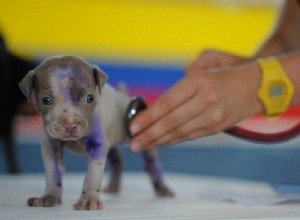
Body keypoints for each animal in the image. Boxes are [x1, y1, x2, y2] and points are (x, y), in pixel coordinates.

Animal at [18, 55, 173, 210]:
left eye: (90, 98)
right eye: (46, 100)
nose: (70, 124)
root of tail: (122, 95)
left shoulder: (97, 145)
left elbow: (92, 175)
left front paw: (88, 199)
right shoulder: (51, 146)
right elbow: (53, 173)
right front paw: (49, 197)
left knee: (151, 161)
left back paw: (162, 188)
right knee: (117, 157)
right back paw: (113, 186)